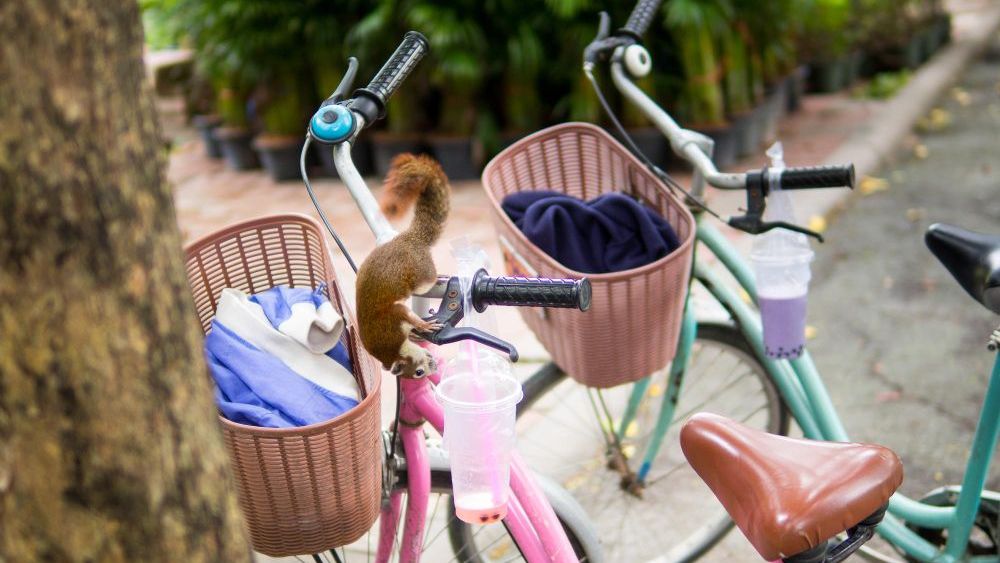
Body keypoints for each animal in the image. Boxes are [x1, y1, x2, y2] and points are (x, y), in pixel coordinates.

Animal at [356, 154, 450, 378]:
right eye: (418, 372)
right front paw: (417, 333)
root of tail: (408, 238)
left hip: (422, 274)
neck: (391, 350)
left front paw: (424, 326)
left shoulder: (394, 318)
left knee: (430, 278)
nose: (433, 367)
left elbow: (408, 317)